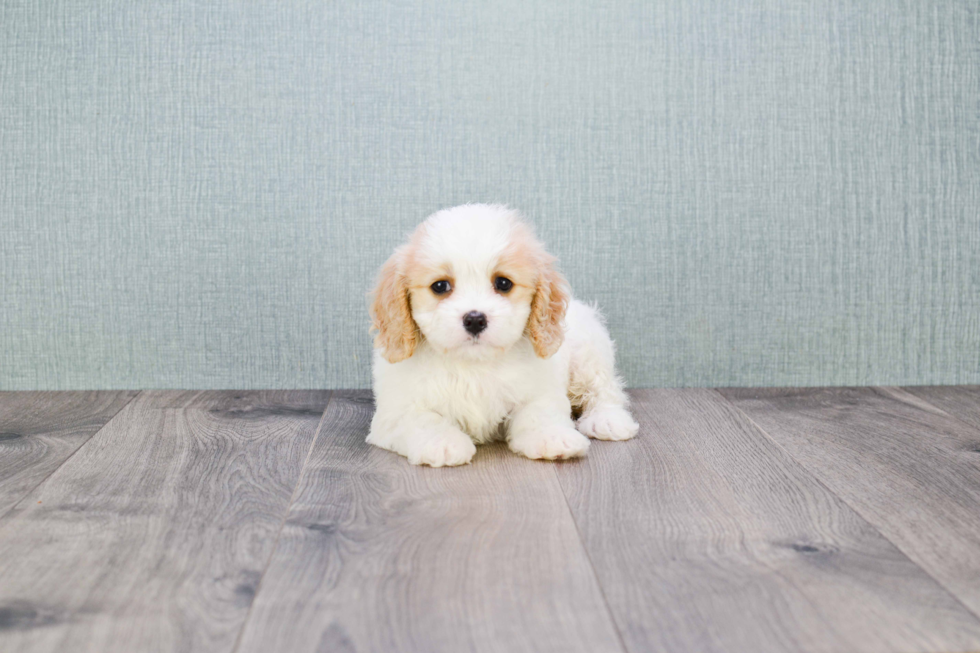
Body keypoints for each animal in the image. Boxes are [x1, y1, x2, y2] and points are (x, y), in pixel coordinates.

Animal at [368, 204, 636, 464]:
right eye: (440, 286)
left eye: (503, 283)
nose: (475, 319)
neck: (473, 364)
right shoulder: (395, 411)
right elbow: (422, 420)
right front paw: (442, 443)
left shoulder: (541, 390)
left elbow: (539, 413)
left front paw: (553, 437)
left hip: (589, 354)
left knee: (605, 389)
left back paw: (608, 420)